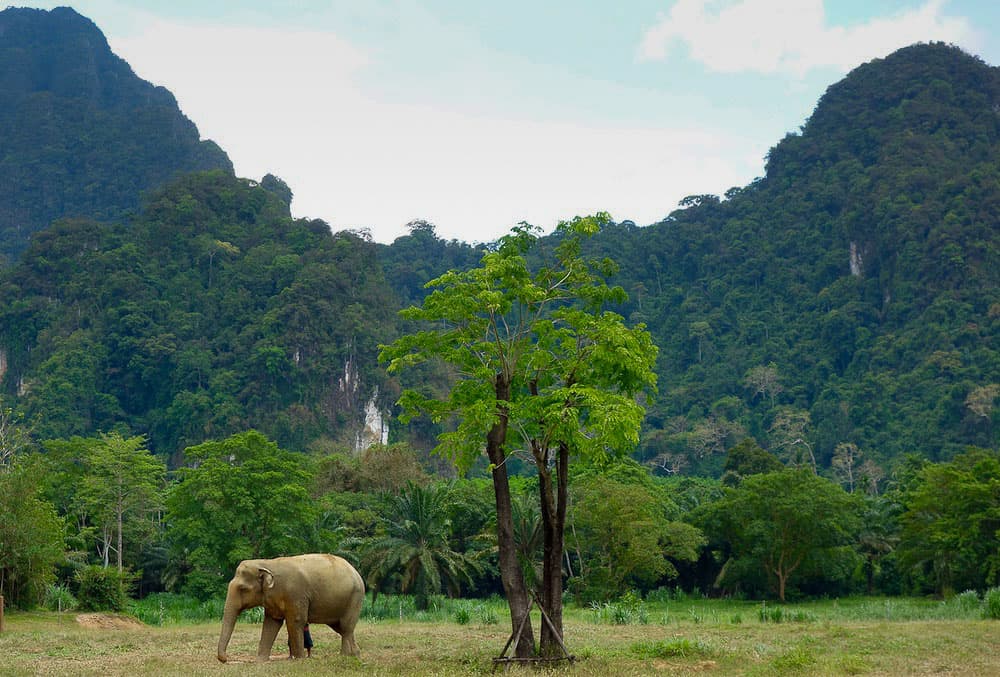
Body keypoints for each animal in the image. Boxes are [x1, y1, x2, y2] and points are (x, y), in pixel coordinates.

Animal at [217, 552, 366, 664]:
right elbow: (271, 623)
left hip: (355, 598)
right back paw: (356, 654)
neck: (267, 563)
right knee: (341, 628)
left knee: (346, 627)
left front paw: (299, 659)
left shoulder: (295, 594)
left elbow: (296, 621)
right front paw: (260, 661)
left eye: (243, 589)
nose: (225, 659)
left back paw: (345, 656)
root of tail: (356, 572)